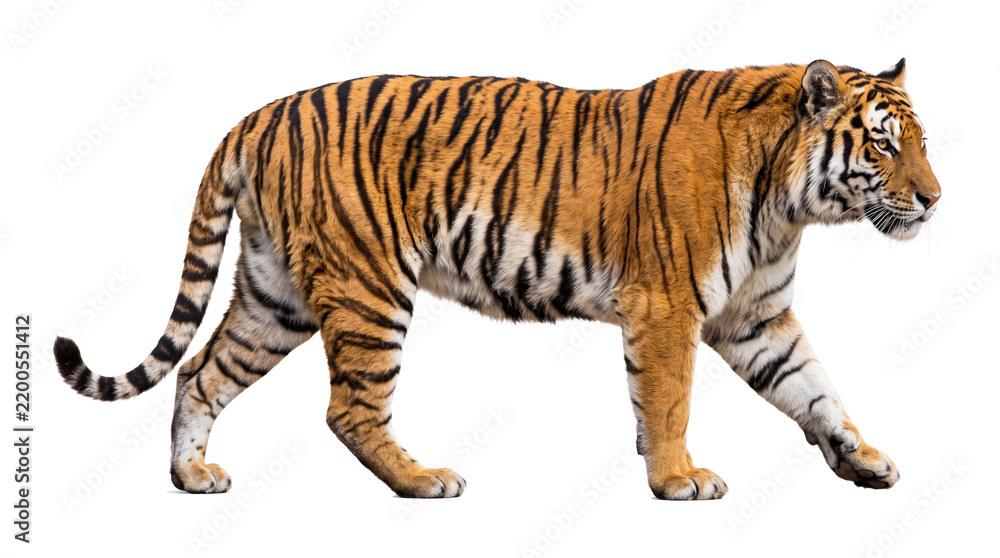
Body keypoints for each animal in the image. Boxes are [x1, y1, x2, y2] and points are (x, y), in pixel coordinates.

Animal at [54, 58, 941, 500]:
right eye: (885, 144)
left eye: (921, 143)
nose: (937, 198)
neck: (789, 204)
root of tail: (258, 116)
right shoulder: (667, 308)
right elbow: (669, 401)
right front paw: (678, 480)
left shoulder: (756, 318)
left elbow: (816, 391)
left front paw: (864, 461)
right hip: (369, 288)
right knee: (348, 409)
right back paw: (424, 481)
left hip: (277, 297)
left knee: (201, 373)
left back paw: (192, 477)